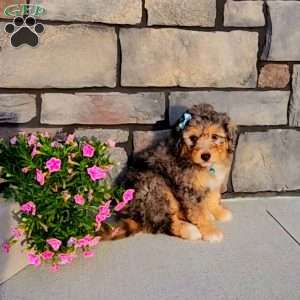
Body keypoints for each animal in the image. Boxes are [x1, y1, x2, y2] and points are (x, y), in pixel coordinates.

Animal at [113, 104, 236, 243]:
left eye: (214, 137)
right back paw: (189, 230)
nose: (205, 156)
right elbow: (197, 212)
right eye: (193, 138)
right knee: (159, 221)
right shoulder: (188, 189)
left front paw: (218, 211)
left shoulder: (213, 183)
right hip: (154, 187)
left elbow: (213, 197)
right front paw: (210, 231)